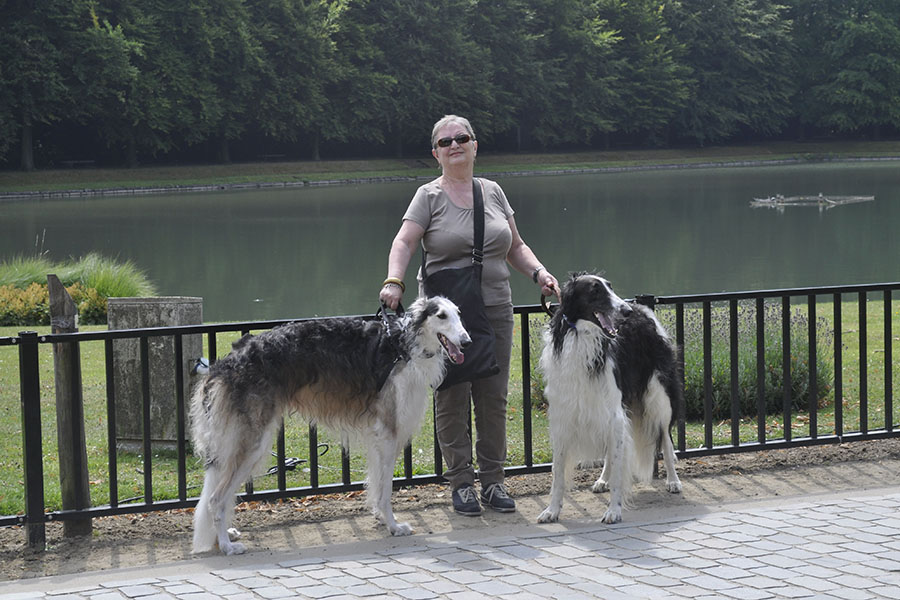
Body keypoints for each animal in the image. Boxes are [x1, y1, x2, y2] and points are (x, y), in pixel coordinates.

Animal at [190, 296, 470, 555]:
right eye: (441, 316)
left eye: (458, 313)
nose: (467, 341)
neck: (404, 345)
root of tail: (223, 365)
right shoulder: (389, 433)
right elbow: (386, 490)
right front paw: (393, 526)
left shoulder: (378, 437)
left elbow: (376, 485)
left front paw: (380, 518)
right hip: (252, 444)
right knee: (215, 499)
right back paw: (227, 546)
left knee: (219, 496)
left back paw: (223, 536)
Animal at [537, 273, 682, 525]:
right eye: (595, 290)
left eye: (610, 287)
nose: (626, 311)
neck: (583, 338)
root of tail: (642, 309)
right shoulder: (565, 416)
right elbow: (558, 473)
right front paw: (552, 510)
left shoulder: (614, 413)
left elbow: (619, 468)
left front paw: (614, 511)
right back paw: (602, 480)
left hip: (658, 399)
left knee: (665, 438)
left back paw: (673, 481)